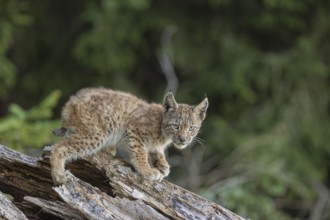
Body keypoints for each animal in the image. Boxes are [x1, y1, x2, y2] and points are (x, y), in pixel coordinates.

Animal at [50, 87, 208, 185]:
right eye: (176, 126)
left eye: (192, 128)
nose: (183, 139)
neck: (162, 128)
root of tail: (71, 100)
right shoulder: (133, 130)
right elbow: (140, 153)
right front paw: (147, 170)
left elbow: (155, 150)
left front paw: (162, 164)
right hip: (98, 134)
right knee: (58, 147)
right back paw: (59, 175)